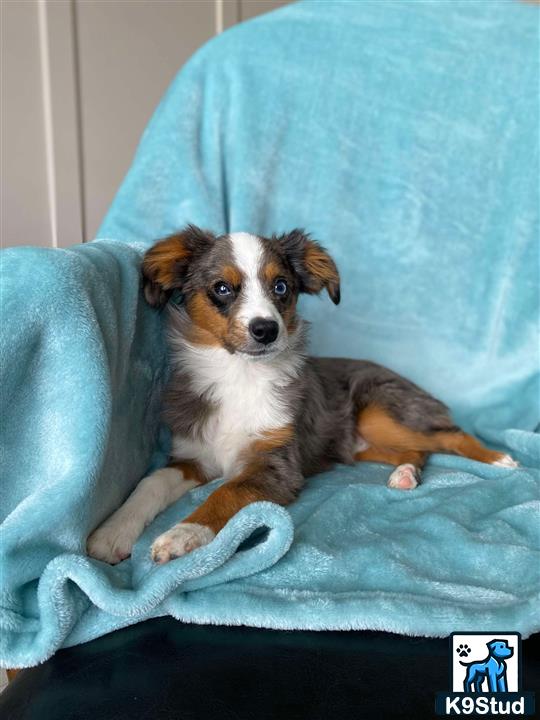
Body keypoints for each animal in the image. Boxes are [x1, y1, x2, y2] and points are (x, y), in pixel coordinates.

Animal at [88, 228, 520, 564]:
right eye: (222, 289)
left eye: (281, 286)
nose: (266, 330)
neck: (240, 376)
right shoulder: (193, 457)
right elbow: (150, 483)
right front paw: (113, 532)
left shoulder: (276, 467)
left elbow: (226, 493)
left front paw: (182, 534)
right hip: (363, 443)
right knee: (417, 451)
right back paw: (404, 475)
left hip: (380, 410)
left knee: (448, 435)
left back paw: (499, 458)